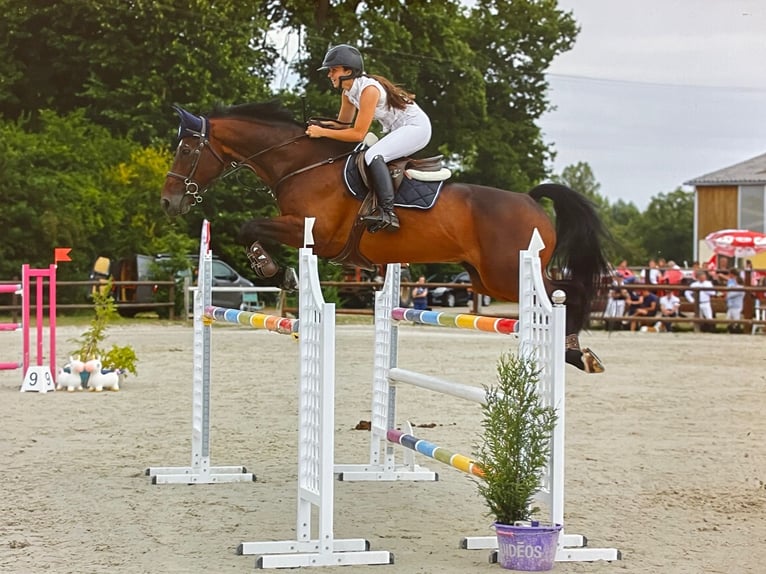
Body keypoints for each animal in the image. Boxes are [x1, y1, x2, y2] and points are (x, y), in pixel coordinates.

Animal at [162, 103, 612, 374]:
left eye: (185, 151)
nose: (168, 201)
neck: (302, 165)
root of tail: (530, 199)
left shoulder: (313, 231)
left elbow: (249, 227)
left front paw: (271, 268)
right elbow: (250, 229)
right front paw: (276, 270)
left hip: (506, 271)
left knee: (566, 290)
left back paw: (576, 350)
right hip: (486, 278)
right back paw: (575, 351)